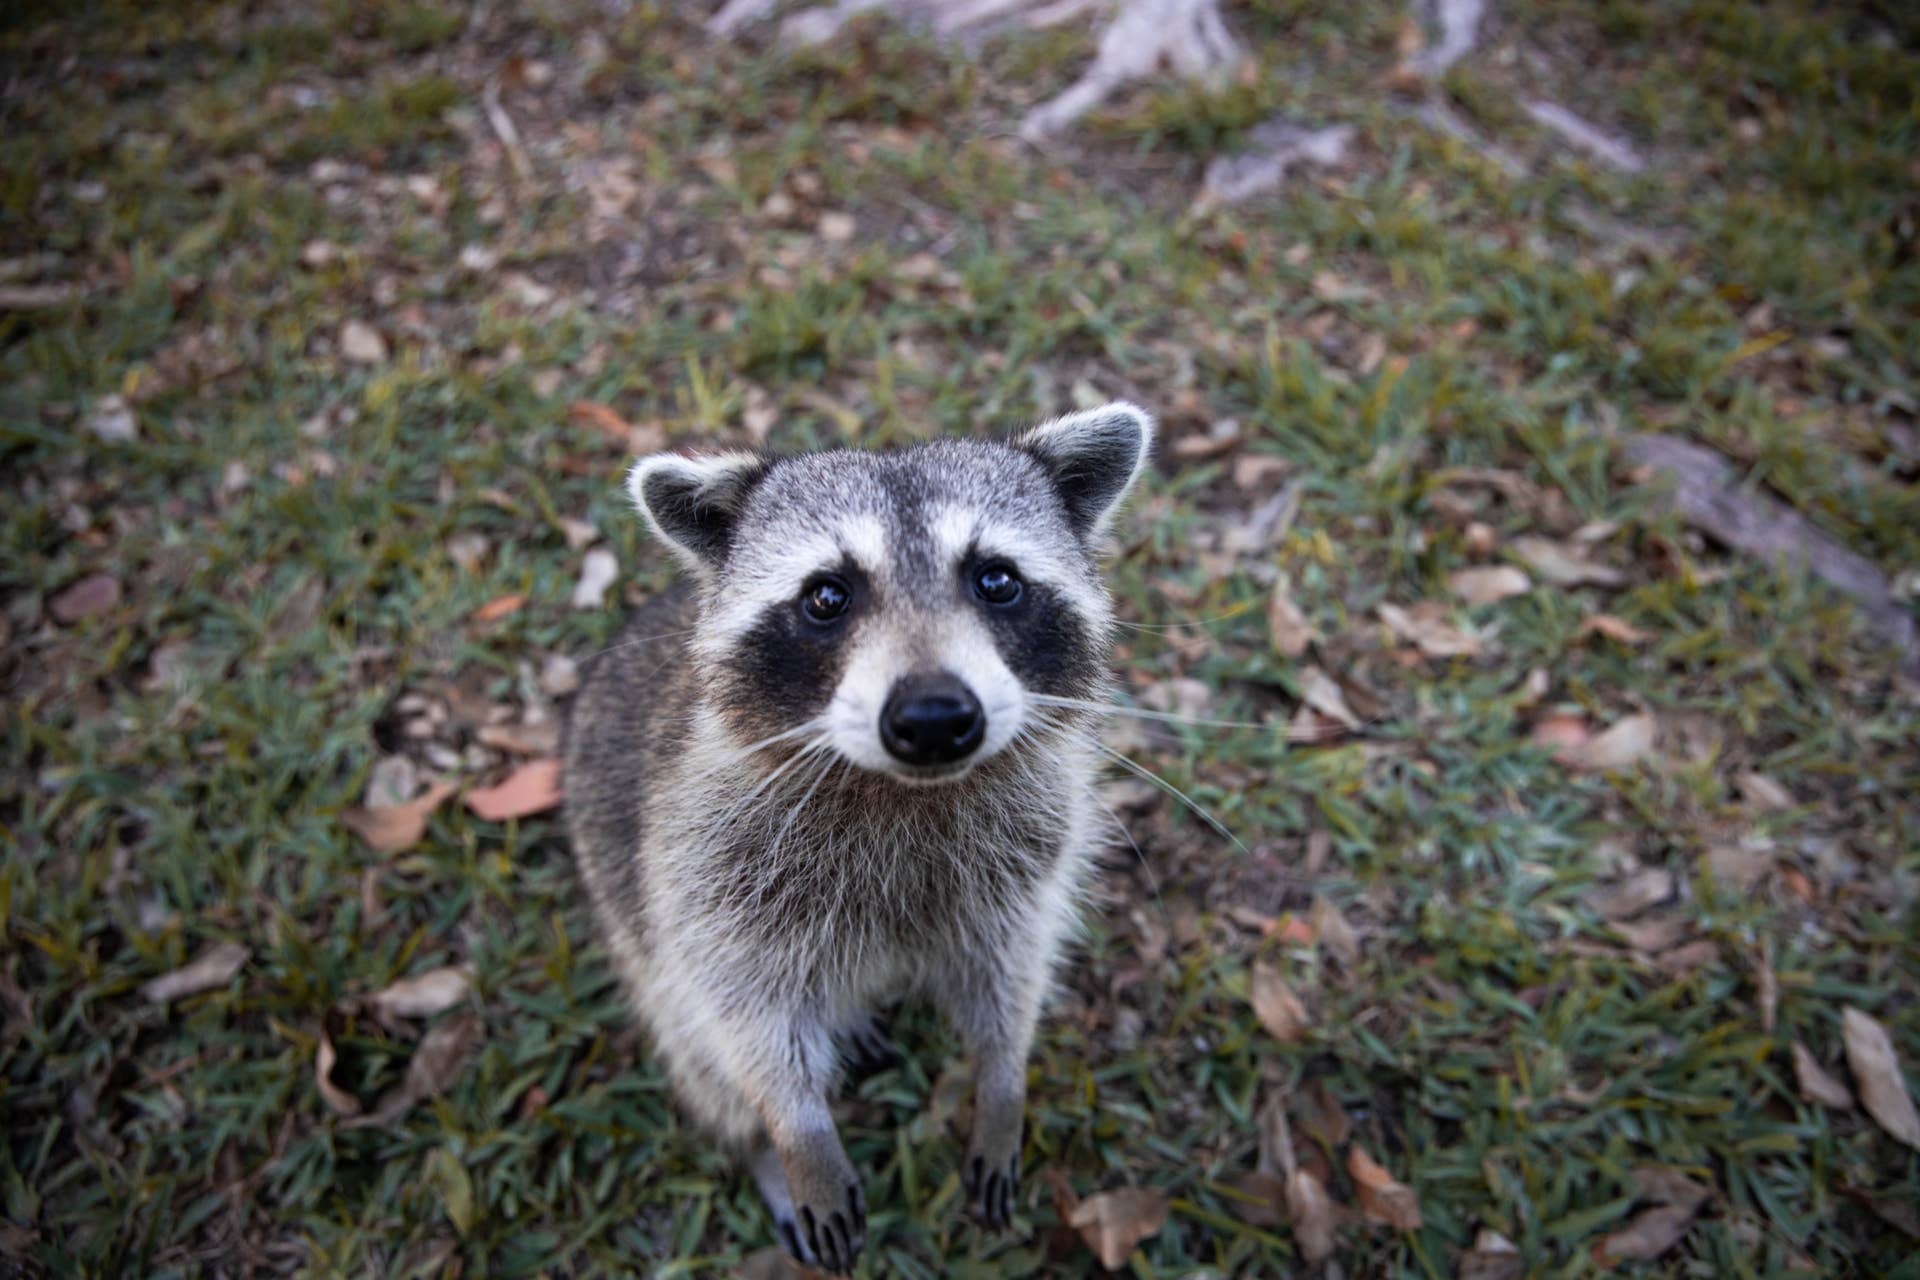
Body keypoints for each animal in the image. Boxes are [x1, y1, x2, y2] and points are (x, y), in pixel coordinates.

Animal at [563, 402, 1153, 1273]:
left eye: (997, 580)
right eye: (827, 596)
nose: (935, 718)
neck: (904, 793)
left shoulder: (1025, 862)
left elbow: (1010, 975)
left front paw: (1002, 1084)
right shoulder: (706, 867)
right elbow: (742, 1016)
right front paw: (796, 1136)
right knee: (698, 1049)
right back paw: (762, 1151)